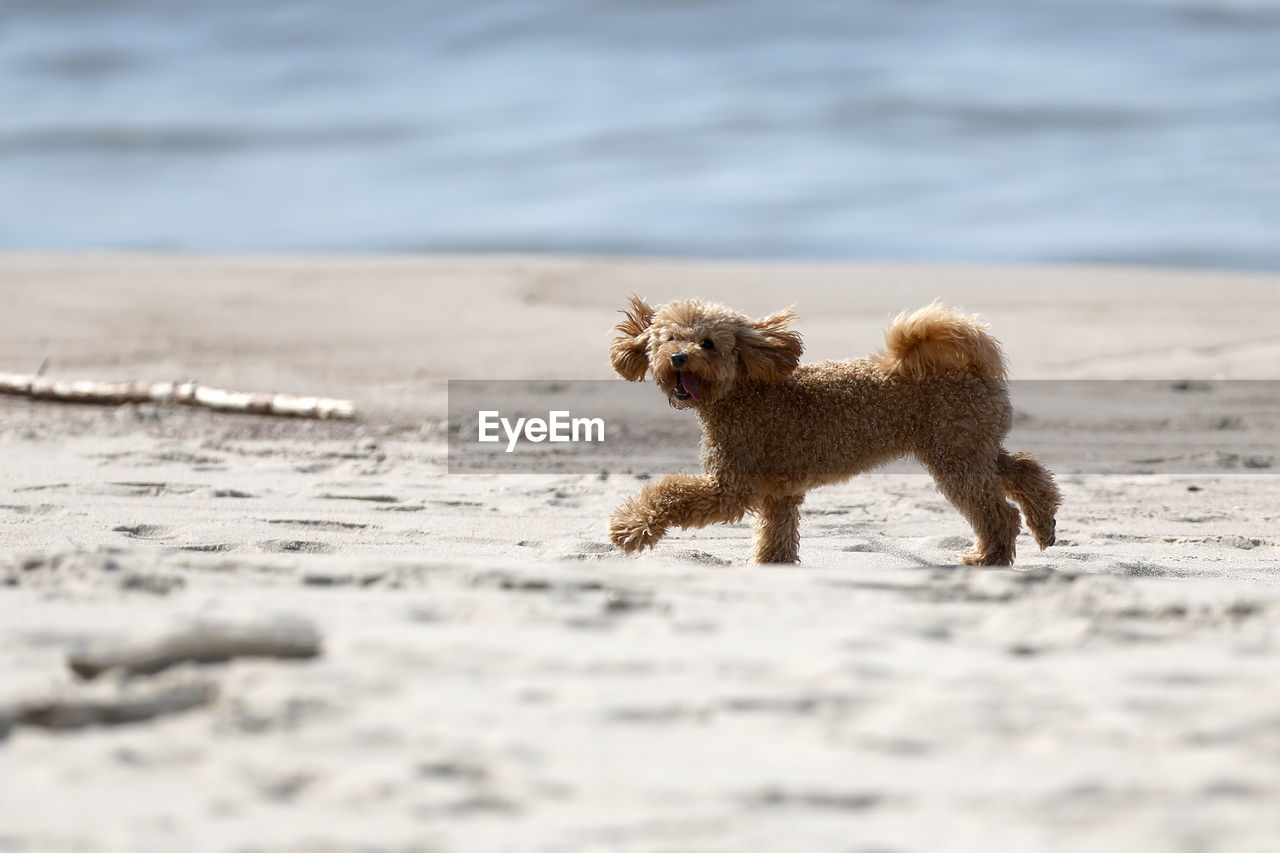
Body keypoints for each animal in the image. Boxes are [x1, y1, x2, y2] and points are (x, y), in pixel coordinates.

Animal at [606, 294, 1059, 563]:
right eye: (667, 338)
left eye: (708, 344)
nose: (678, 358)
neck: (745, 391)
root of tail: (974, 368)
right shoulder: (778, 492)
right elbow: (775, 534)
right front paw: (770, 565)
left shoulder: (732, 485)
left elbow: (669, 493)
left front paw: (629, 528)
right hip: (971, 446)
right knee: (1025, 469)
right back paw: (1044, 524)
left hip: (954, 459)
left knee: (998, 511)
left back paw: (989, 557)